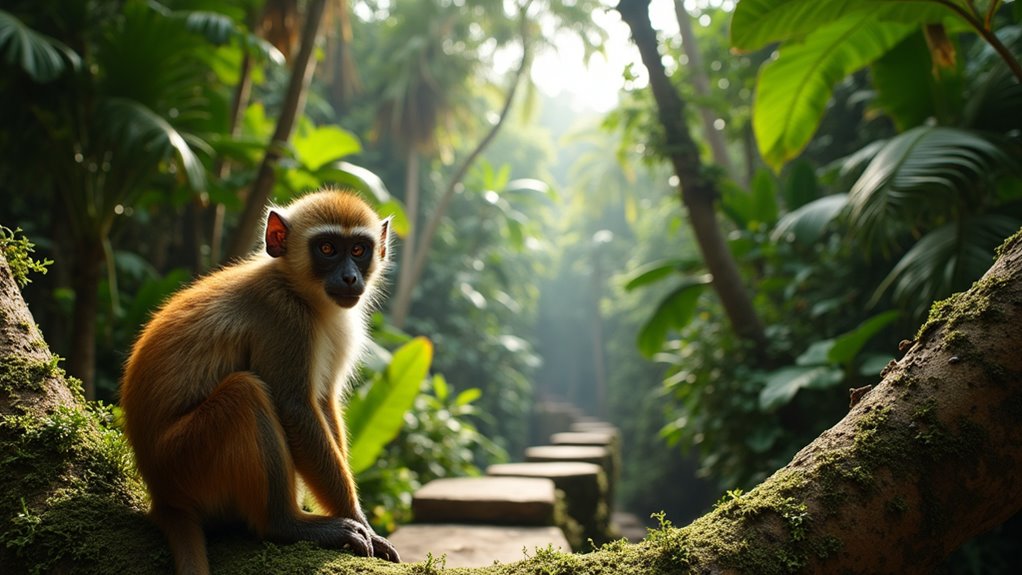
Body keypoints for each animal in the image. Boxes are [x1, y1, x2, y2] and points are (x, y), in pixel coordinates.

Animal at [120, 189, 400, 575]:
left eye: (359, 250)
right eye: (327, 248)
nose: (349, 278)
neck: (299, 291)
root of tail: (162, 495)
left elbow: (322, 402)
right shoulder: (283, 319)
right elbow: (295, 408)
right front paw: (359, 522)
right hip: (184, 460)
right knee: (245, 393)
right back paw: (285, 525)